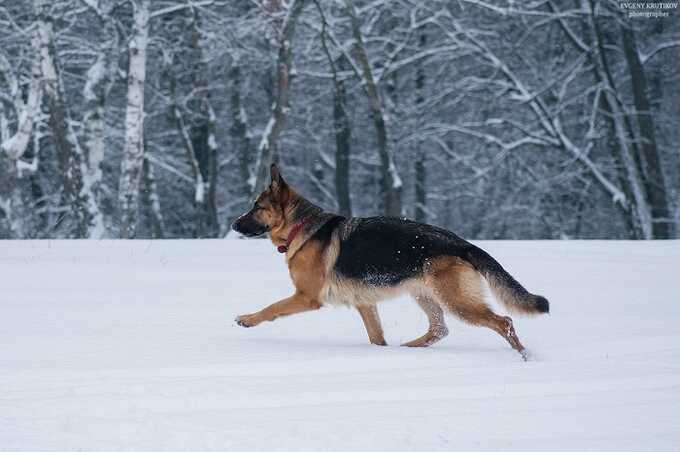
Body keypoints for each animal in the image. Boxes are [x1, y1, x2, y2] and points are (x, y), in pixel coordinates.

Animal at [232, 164, 548, 358]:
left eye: (256, 207)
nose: (234, 224)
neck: (301, 226)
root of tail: (463, 244)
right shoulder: (365, 303)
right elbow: (377, 337)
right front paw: (381, 353)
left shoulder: (306, 297)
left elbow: (272, 308)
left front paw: (247, 319)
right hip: (425, 295)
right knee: (439, 329)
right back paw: (407, 349)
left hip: (457, 301)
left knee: (504, 321)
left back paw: (524, 356)